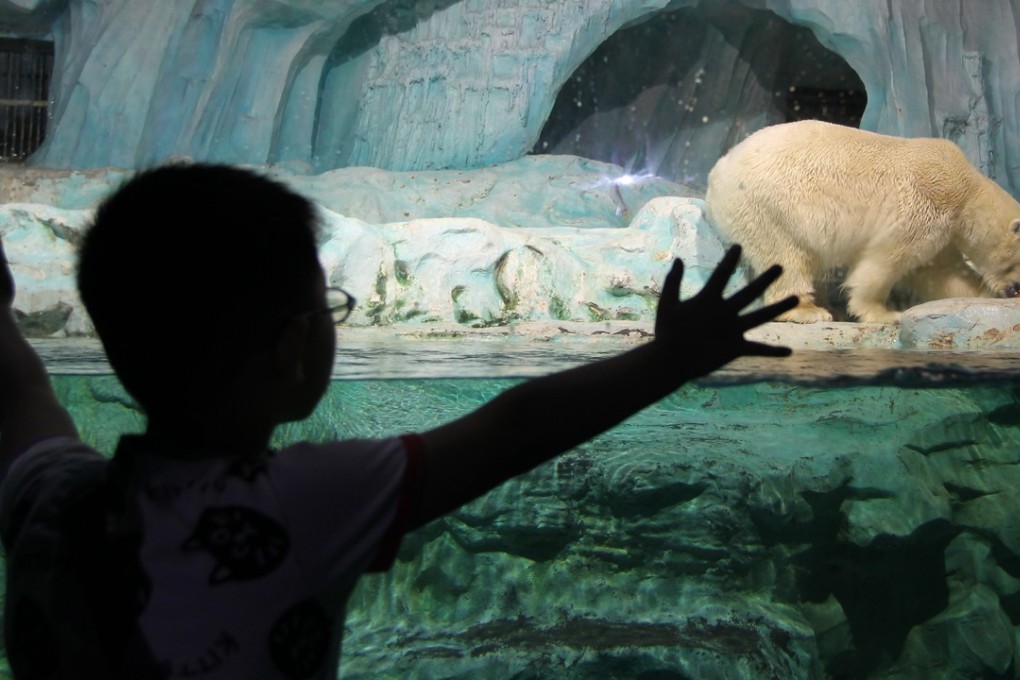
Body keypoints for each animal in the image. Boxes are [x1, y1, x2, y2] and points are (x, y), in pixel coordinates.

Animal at [704, 119, 1020, 323]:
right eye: (1016, 262)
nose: (1015, 288)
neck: (967, 188)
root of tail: (718, 168)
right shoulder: (925, 206)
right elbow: (885, 261)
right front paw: (884, 314)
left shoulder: (943, 230)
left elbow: (941, 272)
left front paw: (984, 293)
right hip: (766, 208)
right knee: (785, 257)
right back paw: (808, 311)